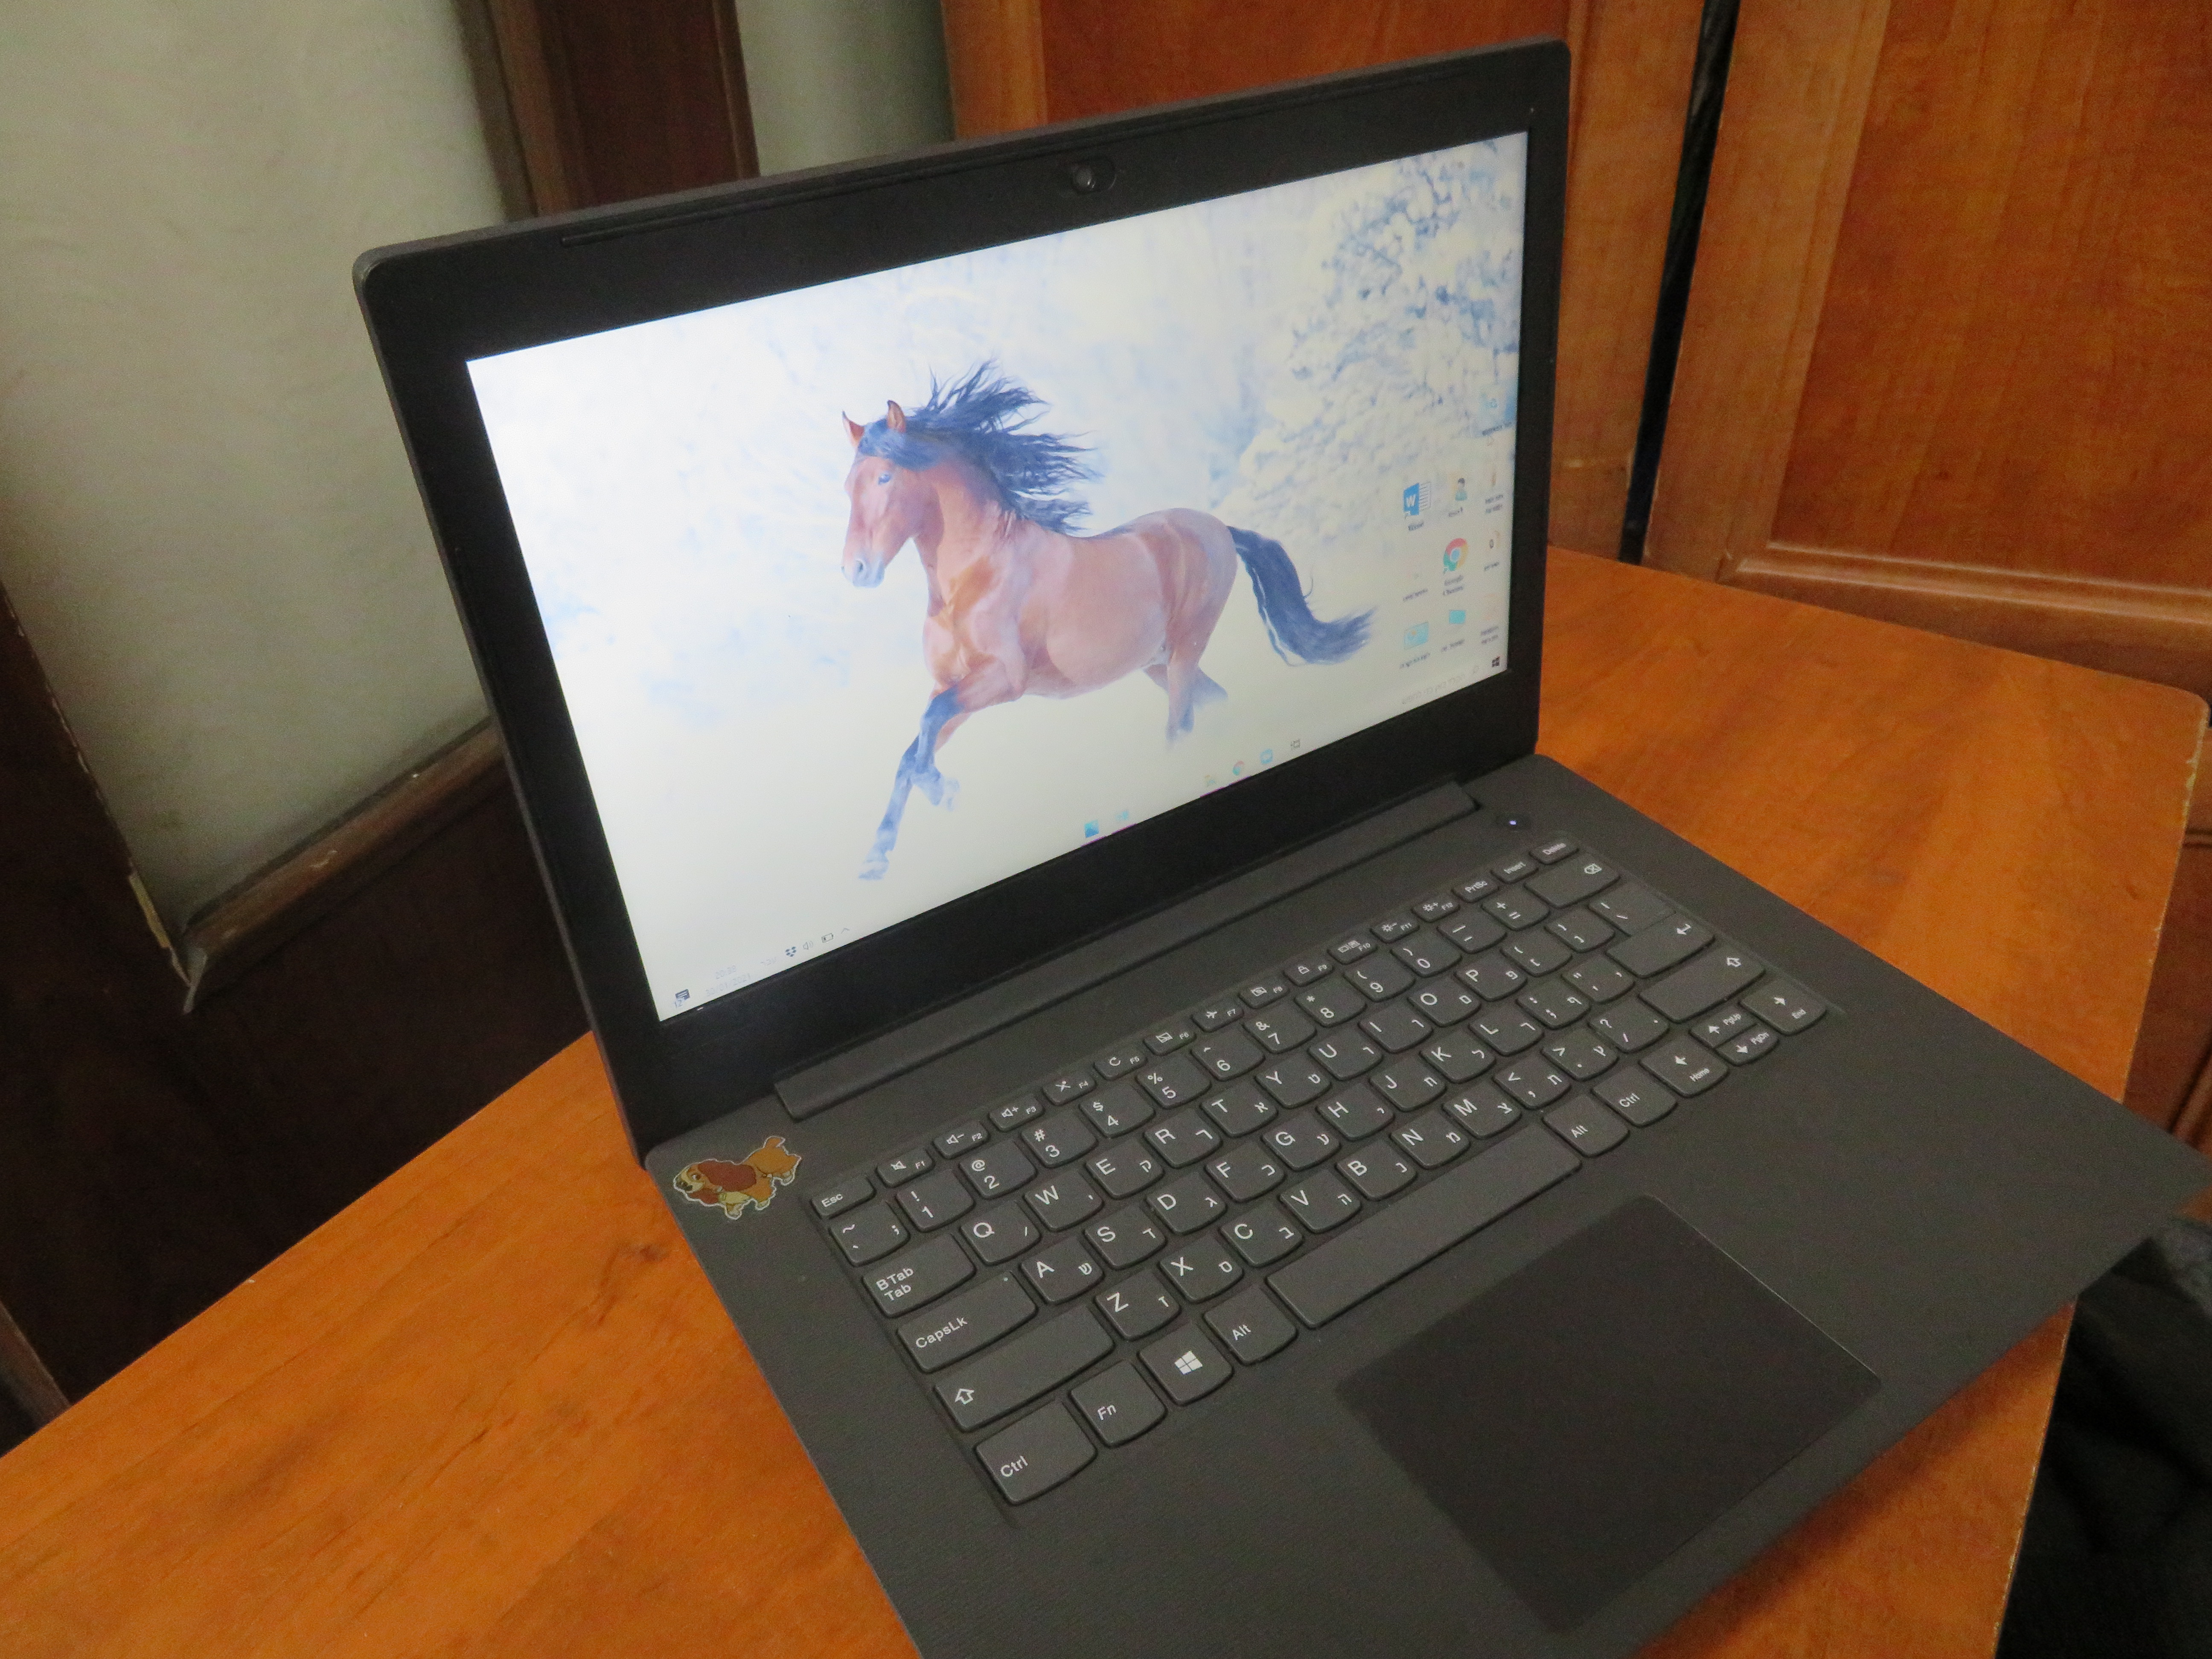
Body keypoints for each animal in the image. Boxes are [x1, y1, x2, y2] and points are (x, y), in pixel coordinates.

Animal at [839, 364, 1370, 880]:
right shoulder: (954, 685)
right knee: (1213, 704)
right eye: (849, 487)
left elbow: (928, 726)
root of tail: (1219, 527)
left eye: (885, 478)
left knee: (1180, 727)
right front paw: (876, 858)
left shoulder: (1002, 679)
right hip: (1157, 664)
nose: (855, 570)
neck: (976, 575)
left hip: (1185, 651)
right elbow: (914, 749)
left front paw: (943, 791)